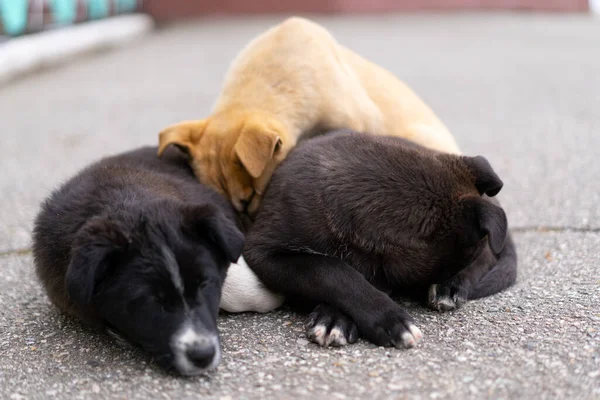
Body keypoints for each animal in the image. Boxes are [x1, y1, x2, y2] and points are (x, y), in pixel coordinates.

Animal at [243, 133, 516, 348]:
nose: (449, 278)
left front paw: (335, 318)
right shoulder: (264, 254)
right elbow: (330, 269)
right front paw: (386, 318)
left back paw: (450, 289)